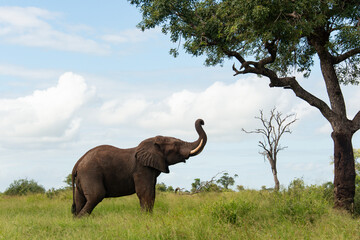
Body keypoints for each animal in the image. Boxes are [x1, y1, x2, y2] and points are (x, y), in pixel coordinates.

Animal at [70, 119, 207, 217]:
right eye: (176, 145)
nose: (202, 121)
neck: (152, 143)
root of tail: (78, 163)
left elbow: (151, 192)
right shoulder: (141, 169)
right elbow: (145, 192)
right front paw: (146, 218)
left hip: (82, 177)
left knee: (80, 199)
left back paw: (77, 220)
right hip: (90, 173)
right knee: (96, 195)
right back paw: (81, 219)